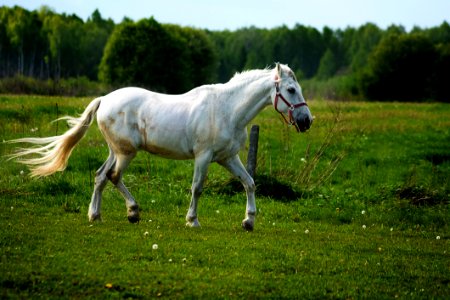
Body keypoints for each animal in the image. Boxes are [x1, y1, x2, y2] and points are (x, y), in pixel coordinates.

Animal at [9, 62, 312, 229]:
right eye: (291, 90)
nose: (306, 121)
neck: (227, 109)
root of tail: (104, 99)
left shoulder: (228, 157)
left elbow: (249, 183)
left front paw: (249, 221)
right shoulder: (203, 157)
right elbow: (197, 188)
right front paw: (192, 220)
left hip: (116, 150)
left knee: (100, 176)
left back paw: (96, 215)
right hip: (126, 152)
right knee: (113, 176)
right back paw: (132, 212)